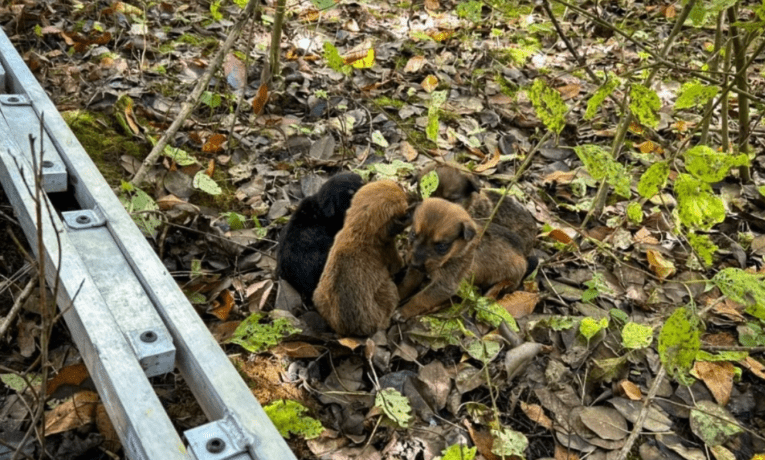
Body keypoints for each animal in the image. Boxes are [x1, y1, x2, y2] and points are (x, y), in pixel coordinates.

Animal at [396, 198, 528, 320]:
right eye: (413, 234)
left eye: (442, 246)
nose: (415, 264)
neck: (458, 250)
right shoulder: (417, 270)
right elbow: (407, 283)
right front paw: (397, 294)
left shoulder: (445, 285)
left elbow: (420, 299)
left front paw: (403, 311)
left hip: (509, 279)